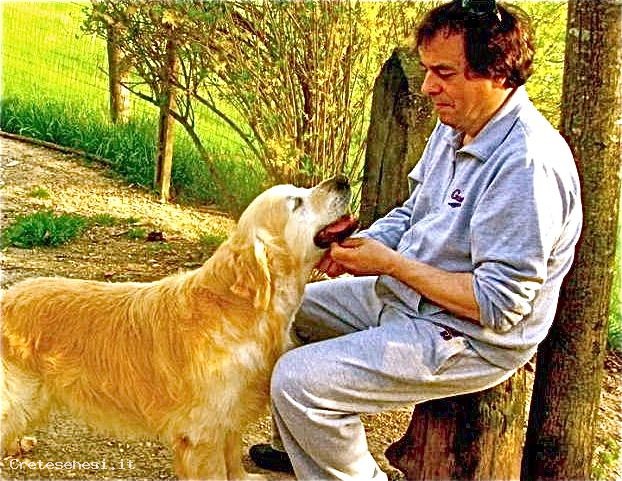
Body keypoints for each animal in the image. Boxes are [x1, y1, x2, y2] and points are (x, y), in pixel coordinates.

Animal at [1, 176, 359, 480]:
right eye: (296, 202)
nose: (343, 180)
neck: (239, 310)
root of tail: (8, 296)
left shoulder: (229, 418)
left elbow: (233, 459)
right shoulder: (202, 433)